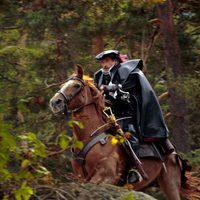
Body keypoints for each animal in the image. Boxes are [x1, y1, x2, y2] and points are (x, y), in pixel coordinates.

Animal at [49, 65, 191, 200]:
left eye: (76, 85)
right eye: (62, 86)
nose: (55, 102)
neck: (89, 137)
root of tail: (174, 153)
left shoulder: (106, 178)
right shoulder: (82, 179)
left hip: (170, 183)